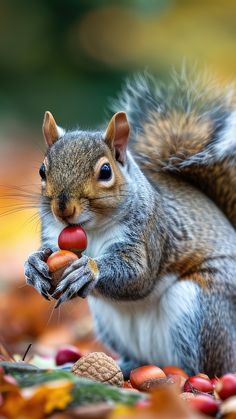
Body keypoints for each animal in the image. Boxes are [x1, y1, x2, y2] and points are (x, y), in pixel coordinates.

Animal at [24, 71, 236, 378]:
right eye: (42, 170)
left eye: (105, 171)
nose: (63, 208)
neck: (92, 228)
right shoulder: (54, 234)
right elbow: (47, 251)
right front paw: (33, 265)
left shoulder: (149, 232)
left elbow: (138, 274)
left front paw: (90, 269)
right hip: (108, 321)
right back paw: (123, 366)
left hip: (200, 311)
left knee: (204, 367)